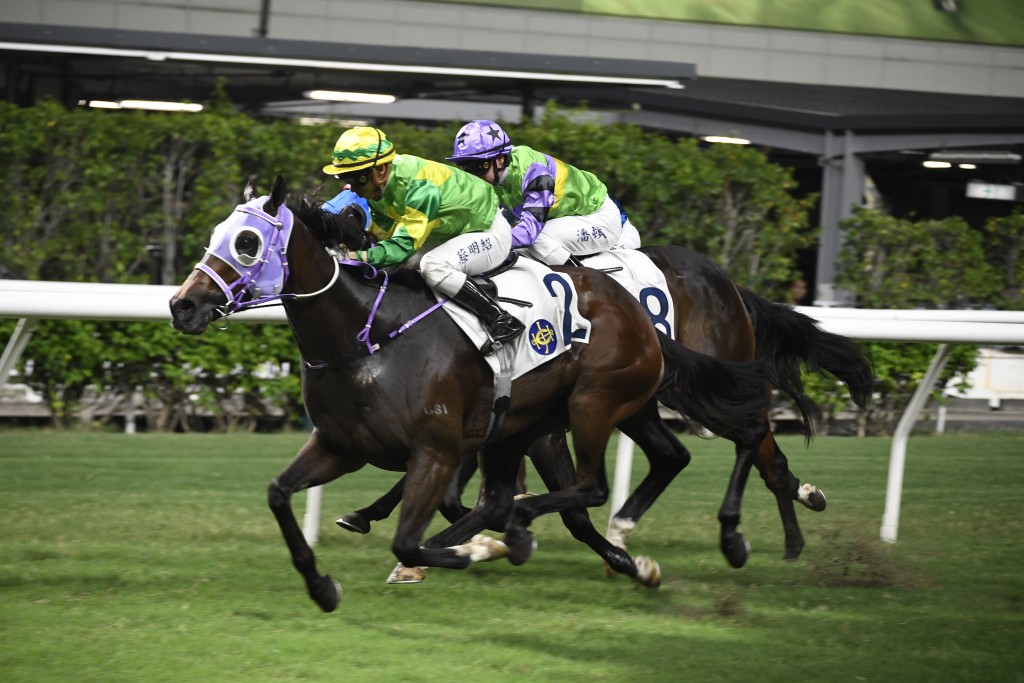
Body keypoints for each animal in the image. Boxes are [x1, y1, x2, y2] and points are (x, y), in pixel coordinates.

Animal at [165, 175, 770, 610]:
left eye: (246, 243)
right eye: (215, 234)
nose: (181, 305)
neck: (367, 337)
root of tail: (634, 310)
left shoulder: (437, 448)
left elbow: (412, 537)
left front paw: (464, 550)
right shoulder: (340, 446)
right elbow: (278, 494)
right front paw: (322, 585)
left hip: (595, 403)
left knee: (607, 483)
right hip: (547, 420)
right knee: (631, 470)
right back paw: (620, 553)